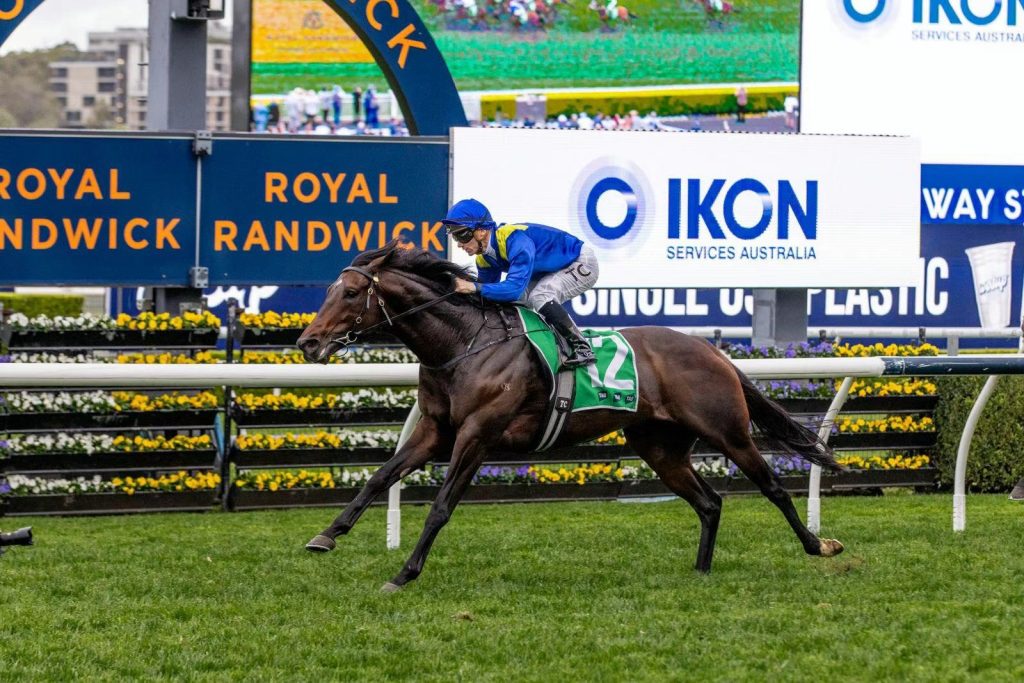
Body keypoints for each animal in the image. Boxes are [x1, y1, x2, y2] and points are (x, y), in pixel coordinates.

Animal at [297, 242, 845, 591]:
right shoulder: (435, 431)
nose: (308, 342)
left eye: (350, 294)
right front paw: (325, 536)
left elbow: (441, 507)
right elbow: (379, 478)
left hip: (727, 430)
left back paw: (819, 546)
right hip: (659, 446)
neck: (462, 345)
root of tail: (713, 351)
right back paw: (701, 571)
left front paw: (404, 574)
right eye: (328, 291)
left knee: (773, 488)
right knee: (709, 503)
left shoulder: (476, 435)